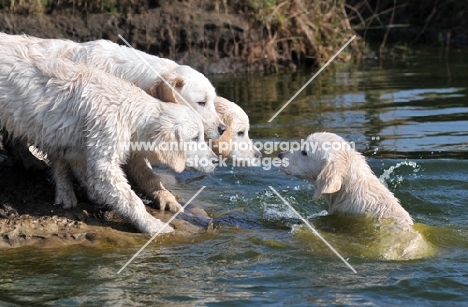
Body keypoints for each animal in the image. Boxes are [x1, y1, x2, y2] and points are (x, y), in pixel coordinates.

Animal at [0, 46, 218, 233]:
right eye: (201, 102)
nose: (216, 160)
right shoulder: (102, 133)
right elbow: (119, 186)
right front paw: (154, 226)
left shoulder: (72, 134)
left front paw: (166, 198)